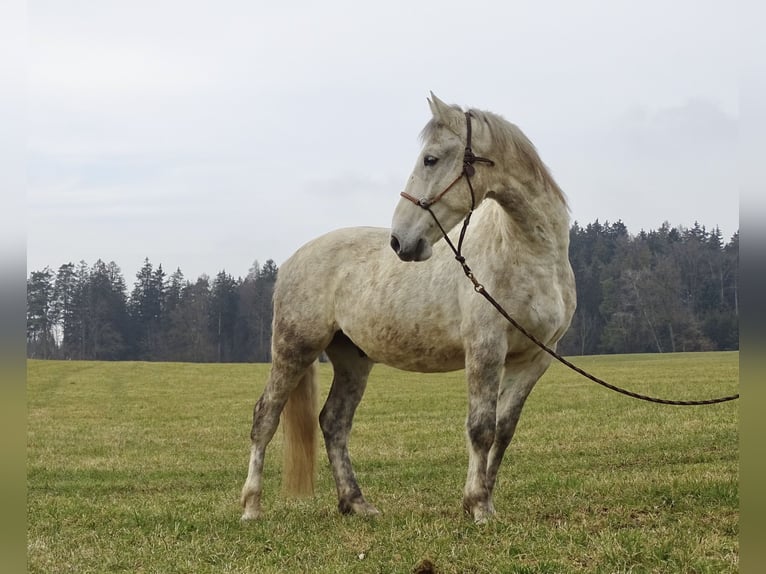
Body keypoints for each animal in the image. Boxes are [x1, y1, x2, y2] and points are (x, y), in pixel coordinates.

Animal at [240, 94, 576, 528]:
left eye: (431, 159)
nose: (401, 242)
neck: (530, 256)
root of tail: (291, 261)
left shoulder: (534, 358)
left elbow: (502, 430)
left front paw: (485, 500)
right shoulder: (485, 349)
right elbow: (480, 428)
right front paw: (477, 506)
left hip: (352, 359)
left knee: (334, 423)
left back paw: (356, 503)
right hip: (294, 348)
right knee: (265, 417)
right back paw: (251, 506)